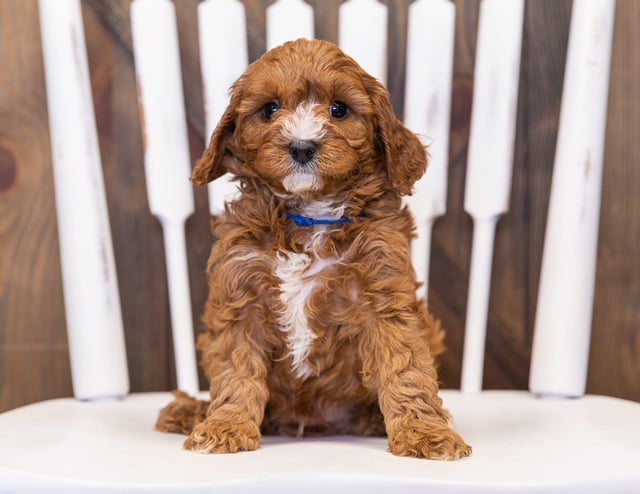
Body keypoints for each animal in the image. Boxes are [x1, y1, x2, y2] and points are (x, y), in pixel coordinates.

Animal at [156, 37, 470, 460]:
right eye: (270, 109)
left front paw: (425, 434)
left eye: (338, 109)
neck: (309, 216)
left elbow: (405, 368)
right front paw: (226, 426)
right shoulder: (241, 295)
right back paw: (191, 411)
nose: (302, 146)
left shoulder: (384, 290)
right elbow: (236, 369)